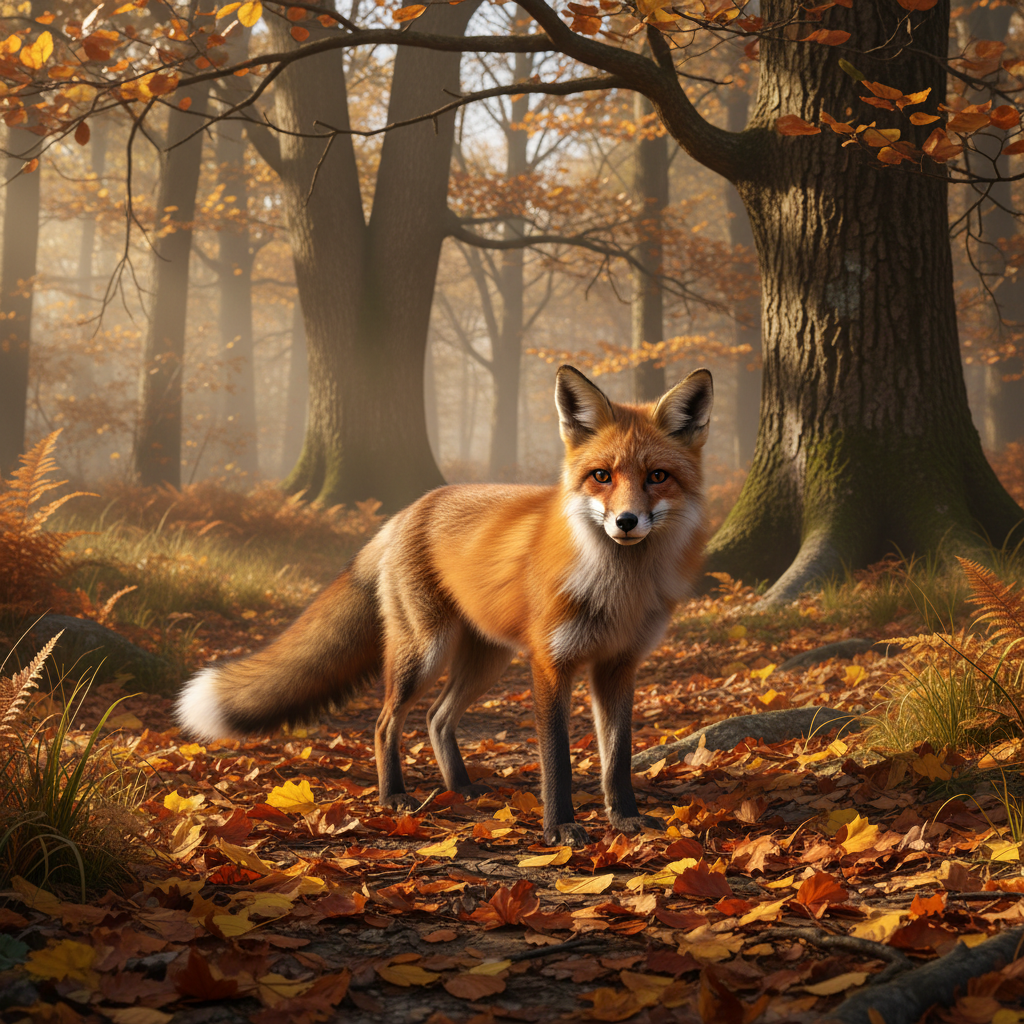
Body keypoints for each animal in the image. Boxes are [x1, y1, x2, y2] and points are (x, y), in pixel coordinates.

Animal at [175, 365, 713, 847]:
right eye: (601, 476)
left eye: (657, 476)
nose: (626, 522)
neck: (618, 589)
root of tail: (407, 511)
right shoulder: (550, 664)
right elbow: (556, 758)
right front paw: (559, 827)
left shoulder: (619, 665)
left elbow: (617, 756)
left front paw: (624, 817)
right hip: (424, 653)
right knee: (384, 723)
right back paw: (394, 796)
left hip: (487, 661)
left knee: (437, 717)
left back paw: (462, 788)